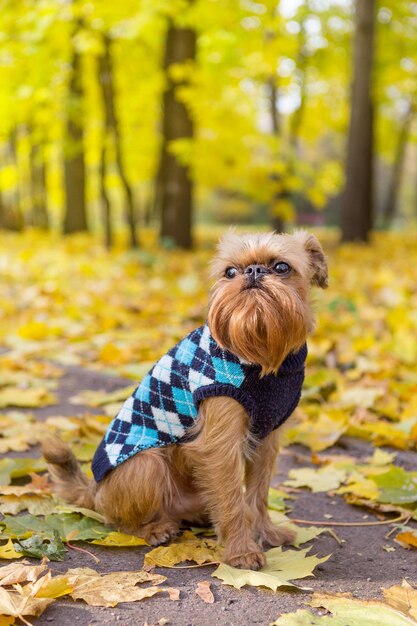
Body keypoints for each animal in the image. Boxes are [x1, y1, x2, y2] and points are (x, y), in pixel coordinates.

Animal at [42, 230, 328, 572]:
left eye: (282, 267)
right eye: (230, 272)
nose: (253, 271)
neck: (261, 355)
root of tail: (93, 490)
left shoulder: (266, 441)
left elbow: (257, 493)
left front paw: (265, 532)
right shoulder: (220, 446)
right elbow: (233, 499)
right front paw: (241, 552)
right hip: (146, 466)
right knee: (119, 521)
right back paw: (154, 529)